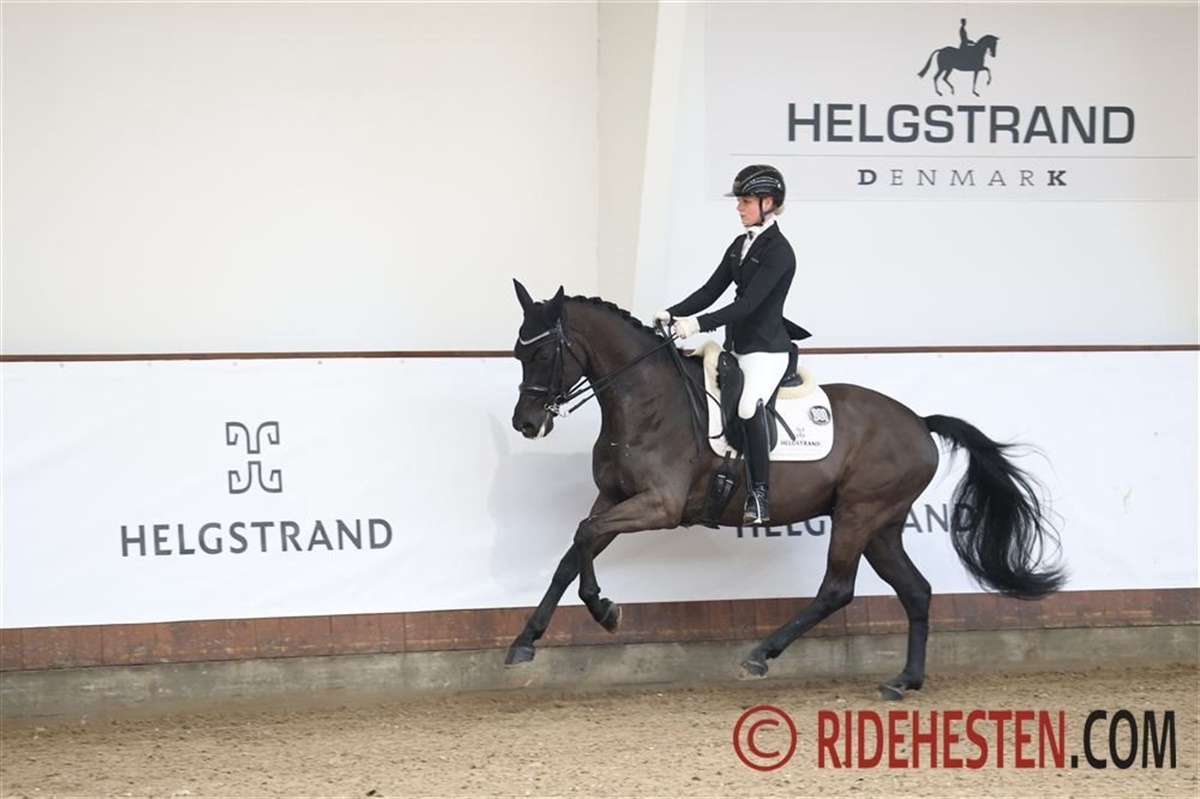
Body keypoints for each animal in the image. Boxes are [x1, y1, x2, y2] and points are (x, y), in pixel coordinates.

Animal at [506, 280, 1065, 699]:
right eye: (516, 351)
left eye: (546, 352)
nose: (526, 424)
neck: (646, 402)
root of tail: (919, 424)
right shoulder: (616, 498)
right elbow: (574, 549)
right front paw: (526, 642)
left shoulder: (658, 506)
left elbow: (583, 535)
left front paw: (604, 610)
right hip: (882, 525)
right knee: (915, 590)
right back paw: (904, 681)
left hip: (860, 514)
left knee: (837, 589)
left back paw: (759, 656)